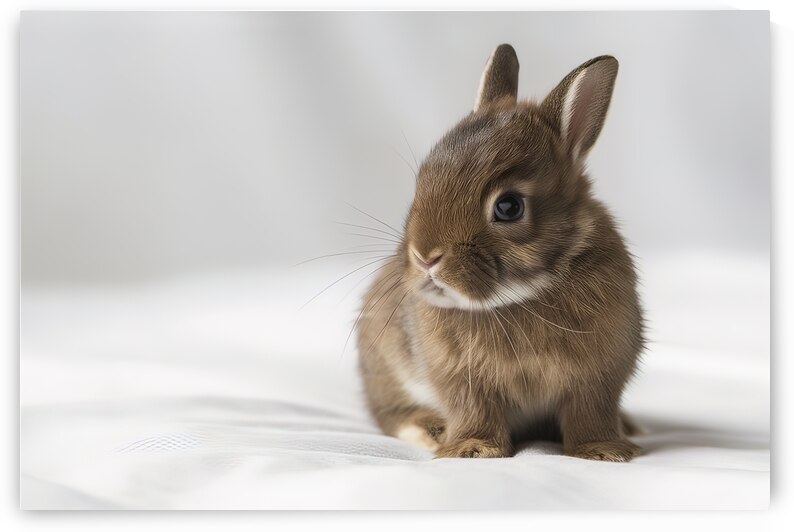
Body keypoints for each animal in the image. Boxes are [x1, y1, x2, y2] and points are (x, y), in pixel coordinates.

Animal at [356, 44, 644, 461]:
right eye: (422, 180)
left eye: (509, 207)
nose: (425, 257)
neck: (521, 297)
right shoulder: (463, 380)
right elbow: (474, 410)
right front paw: (472, 449)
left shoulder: (597, 378)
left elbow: (590, 413)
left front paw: (602, 450)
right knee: (391, 414)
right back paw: (430, 429)